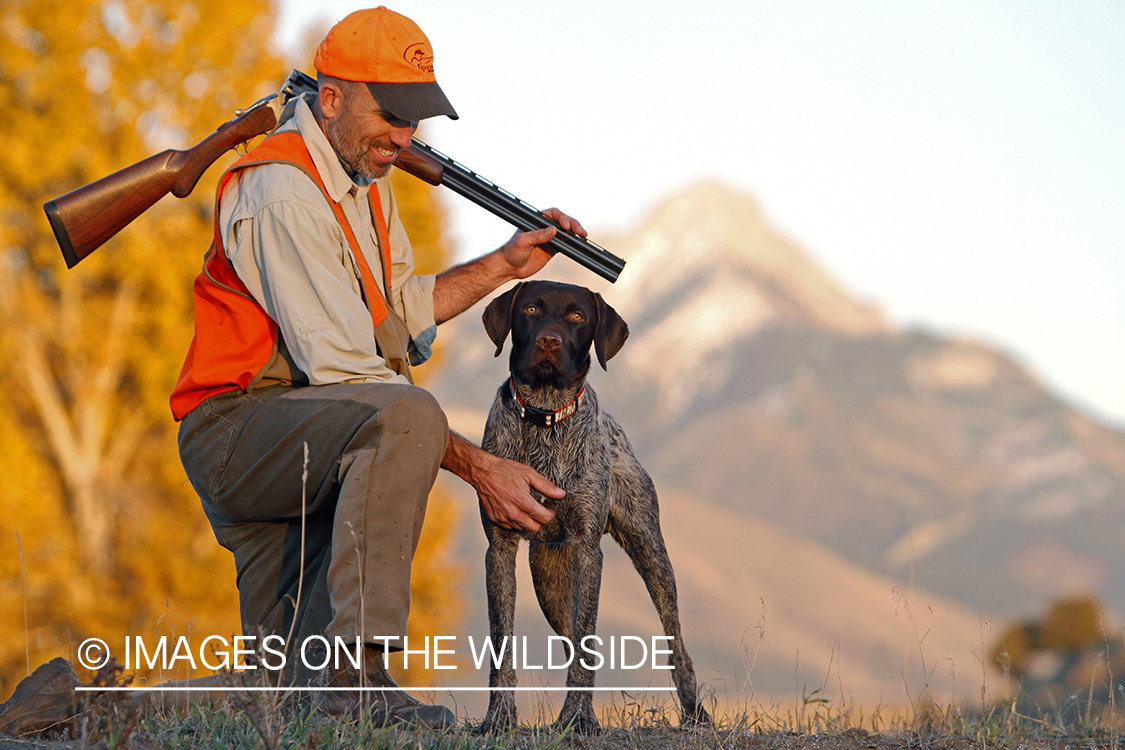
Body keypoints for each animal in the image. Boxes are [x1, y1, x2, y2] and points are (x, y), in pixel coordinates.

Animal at [477, 279, 711, 733]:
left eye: (577, 316)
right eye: (530, 309)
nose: (549, 341)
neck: (546, 415)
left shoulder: (588, 548)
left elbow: (587, 641)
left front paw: (578, 719)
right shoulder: (500, 548)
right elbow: (502, 644)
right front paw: (499, 717)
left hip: (650, 552)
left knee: (675, 641)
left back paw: (695, 713)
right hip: (549, 580)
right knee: (569, 639)